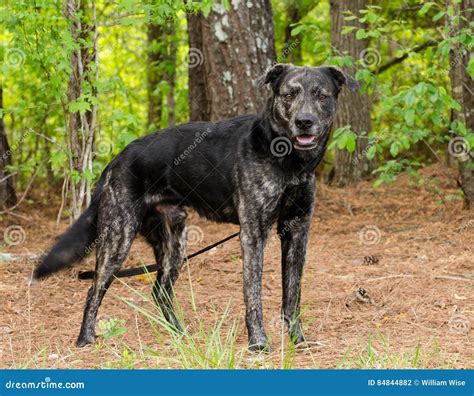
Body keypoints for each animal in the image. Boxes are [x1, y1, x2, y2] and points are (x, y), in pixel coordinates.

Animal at [34, 63, 360, 352]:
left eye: (321, 95)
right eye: (289, 94)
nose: (304, 121)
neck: (288, 159)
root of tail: (117, 159)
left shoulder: (297, 230)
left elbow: (292, 294)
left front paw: (297, 339)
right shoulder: (253, 232)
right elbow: (253, 293)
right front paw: (258, 342)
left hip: (174, 244)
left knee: (160, 291)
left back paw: (179, 334)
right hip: (119, 237)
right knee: (95, 287)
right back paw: (85, 338)